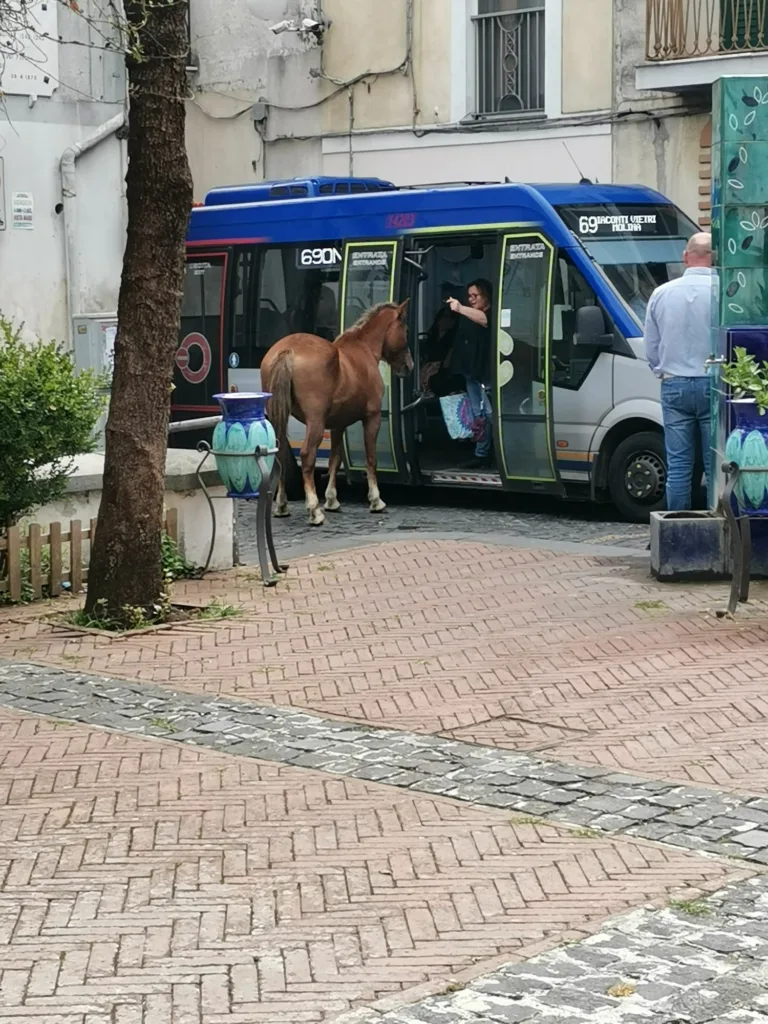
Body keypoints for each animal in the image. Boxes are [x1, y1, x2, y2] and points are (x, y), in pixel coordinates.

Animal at [260, 299, 415, 528]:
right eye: (405, 330)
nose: (409, 366)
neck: (363, 349)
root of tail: (287, 350)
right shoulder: (372, 417)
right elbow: (371, 458)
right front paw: (376, 500)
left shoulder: (337, 424)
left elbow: (335, 458)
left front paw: (332, 500)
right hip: (315, 422)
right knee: (307, 456)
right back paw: (314, 510)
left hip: (277, 416)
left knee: (280, 454)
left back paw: (281, 505)